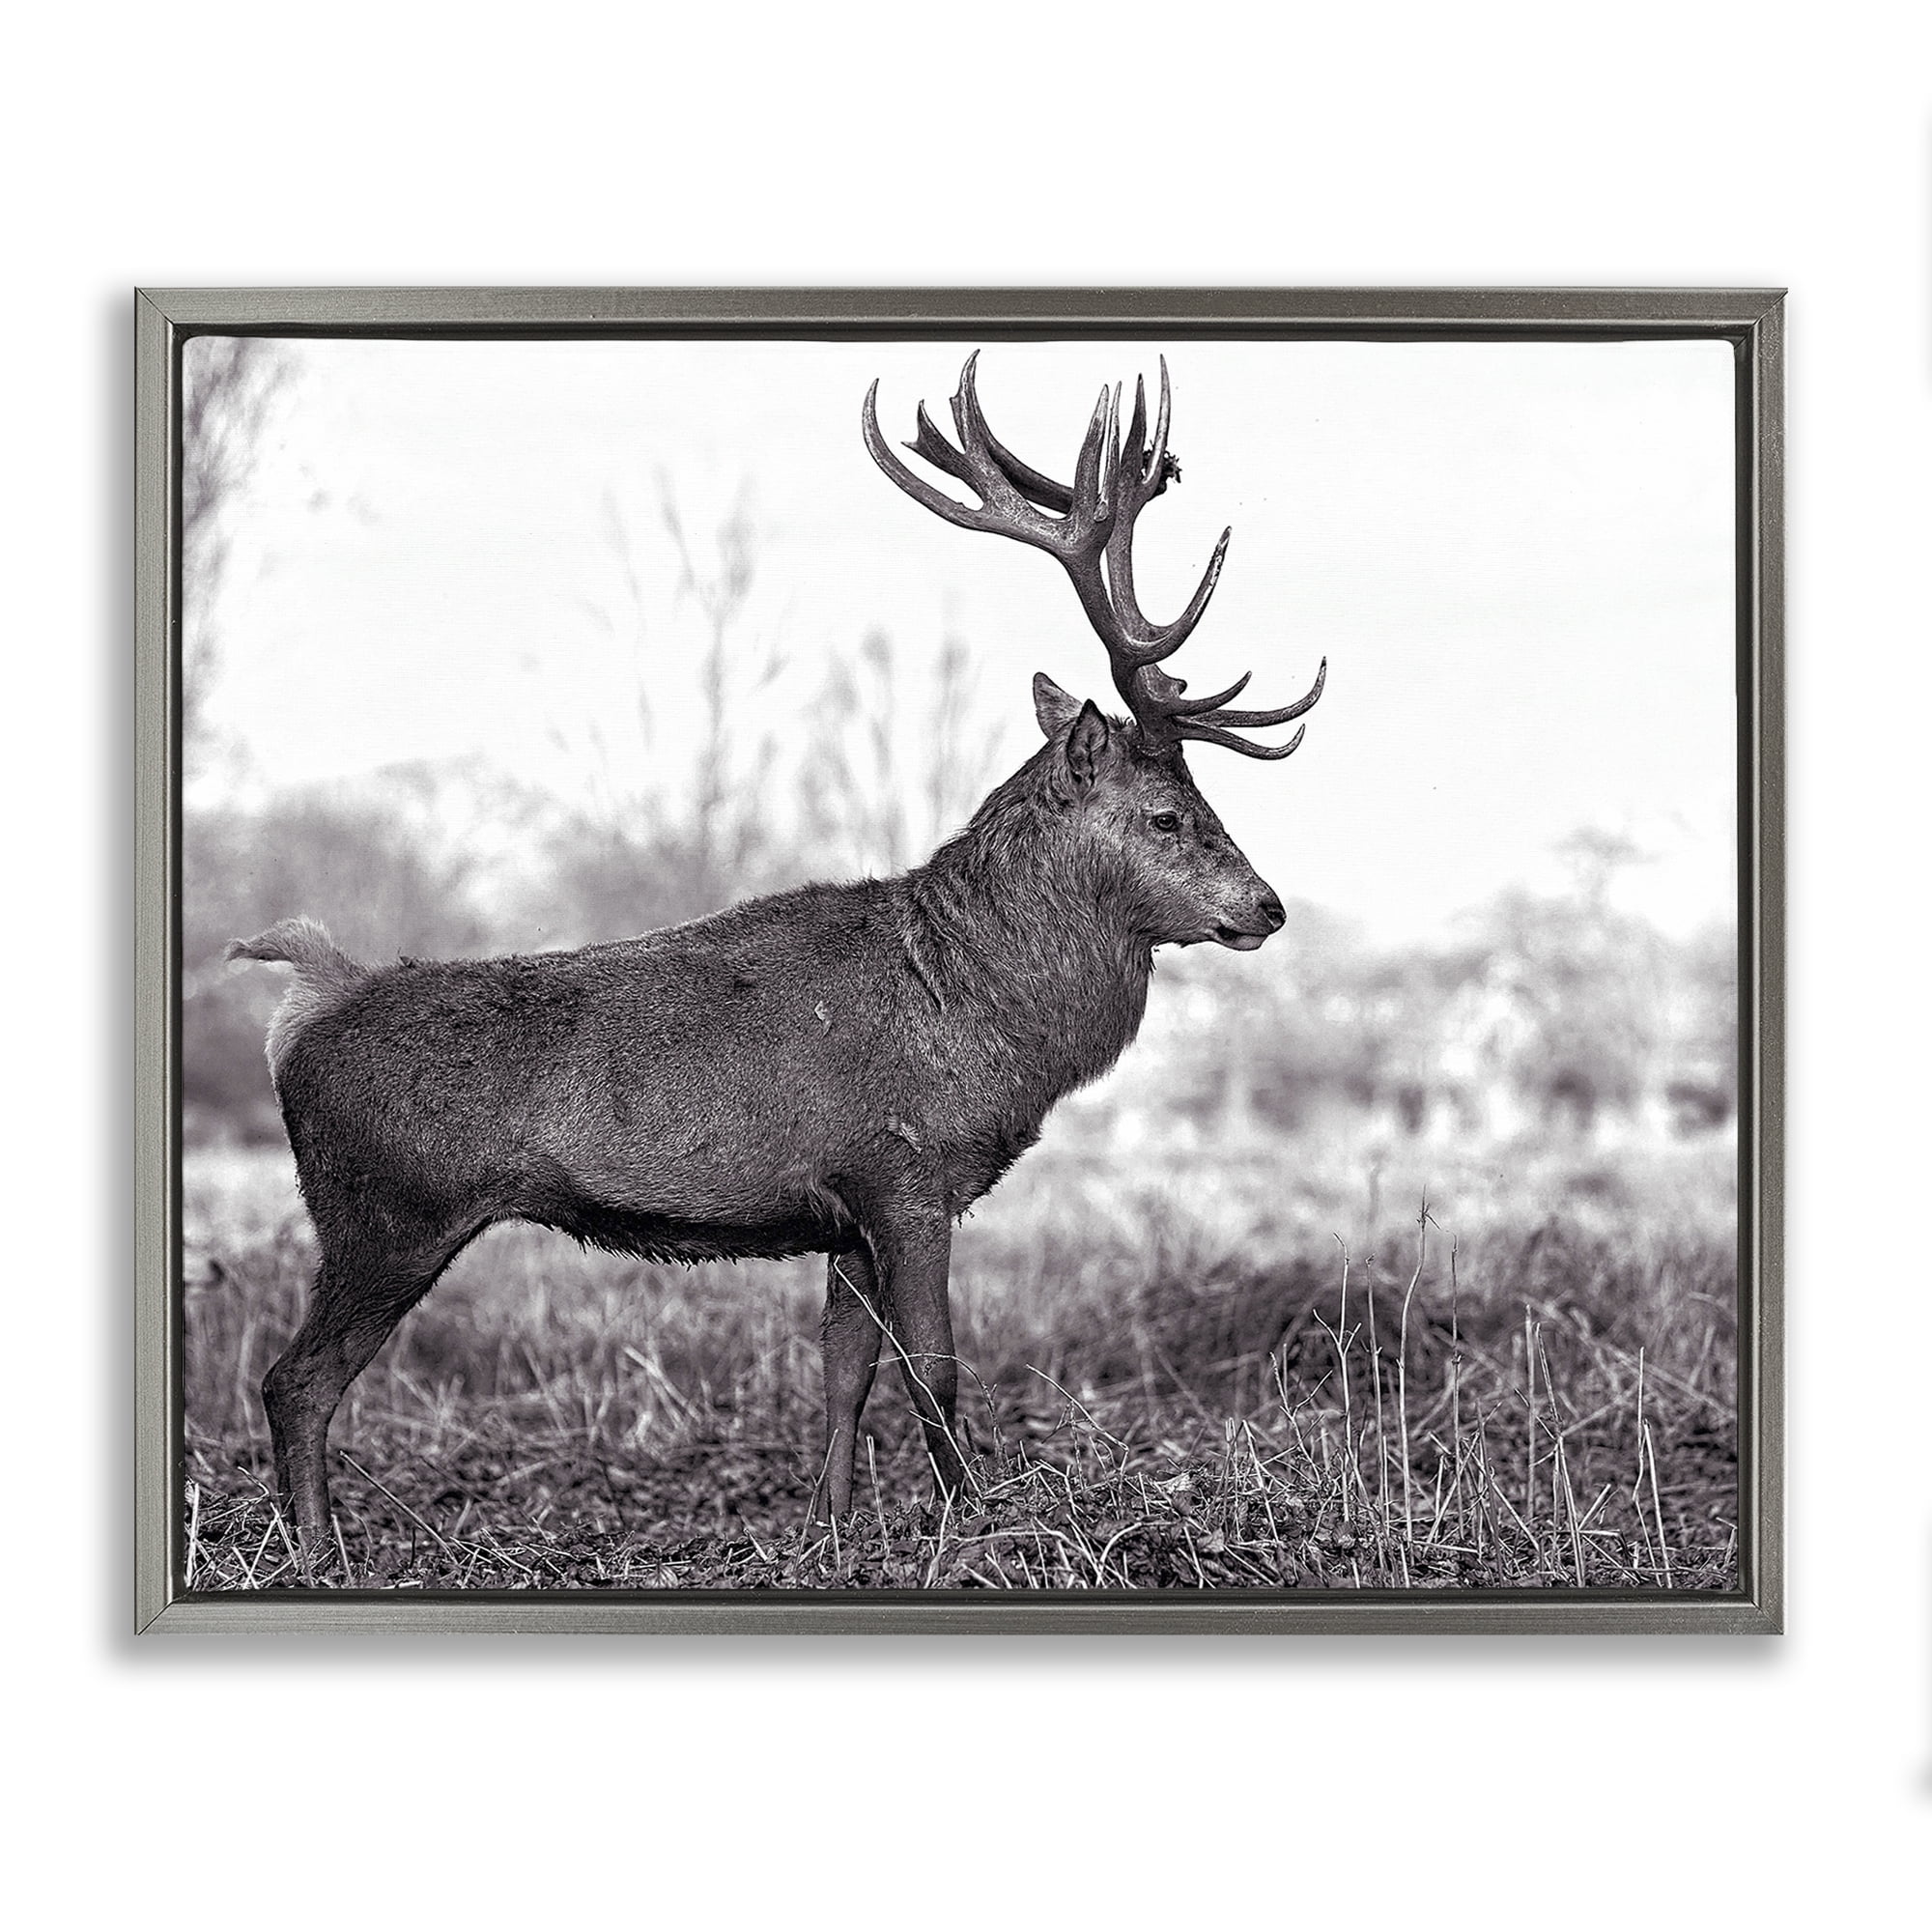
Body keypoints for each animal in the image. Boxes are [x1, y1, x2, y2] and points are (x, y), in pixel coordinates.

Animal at [228, 352, 1324, 1566]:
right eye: (1168, 815)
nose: (1266, 907)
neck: (981, 1010)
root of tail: (303, 1004)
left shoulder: (842, 1209)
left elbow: (843, 1369)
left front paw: (831, 1528)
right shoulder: (905, 1171)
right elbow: (933, 1368)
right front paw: (975, 1525)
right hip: (384, 1212)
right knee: (293, 1379)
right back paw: (316, 1548)